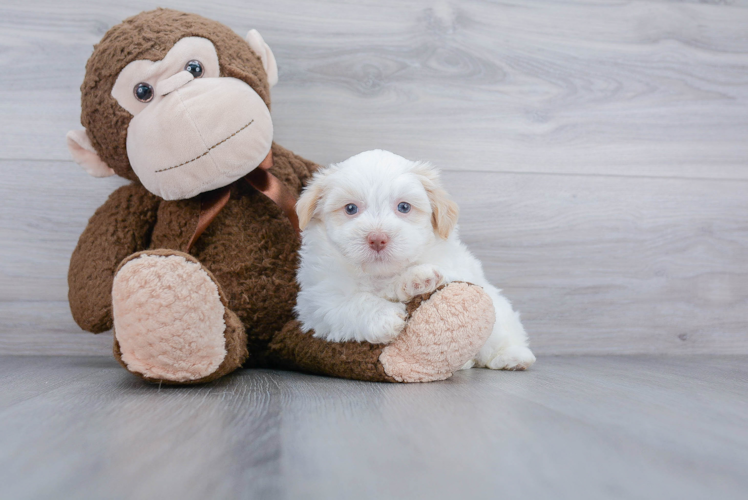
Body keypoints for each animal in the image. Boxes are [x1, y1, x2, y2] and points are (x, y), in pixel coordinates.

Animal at [296, 150, 536, 370]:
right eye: (350, 208)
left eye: (404, 207)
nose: (377, 238)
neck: (378, 273)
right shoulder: (318, 299)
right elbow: (350, 303)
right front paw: (385, 317)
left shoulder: (453, 267)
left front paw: (417, 278)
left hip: (500, 315)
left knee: (498, 336)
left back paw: (512, 357)